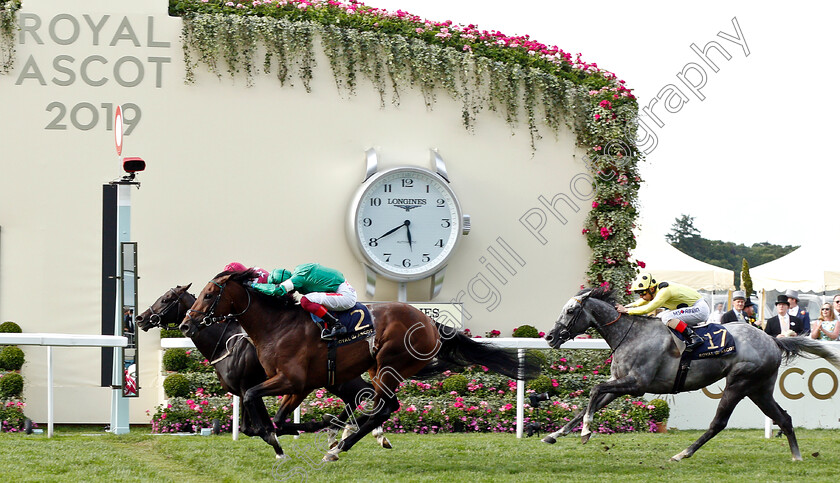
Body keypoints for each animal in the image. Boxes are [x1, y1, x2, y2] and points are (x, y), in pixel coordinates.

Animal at [136, 284, 392, 454]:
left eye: (166, 299)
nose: (140, 318)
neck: (224, 341)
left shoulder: (251, 387)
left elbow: (261, 426)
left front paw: (286, 437)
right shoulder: (244, 390)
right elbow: (251, 427)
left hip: (337, 379)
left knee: (366, 394)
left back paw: (357, 432)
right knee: (363, 396)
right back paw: (354, 433)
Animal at [180, 270, 540, 464]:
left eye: (209, 294)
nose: (185, 324)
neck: (276, 325)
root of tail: (430, 322)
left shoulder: (290, 379)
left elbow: (256, 401)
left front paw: (306, 434)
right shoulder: (299, 385)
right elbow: (276, 418)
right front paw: (299, 433)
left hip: (388, 365)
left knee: (384, 407)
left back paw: (339, 447)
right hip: (376, 370)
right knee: (379, 407)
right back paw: (342, 441)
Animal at [540, 288, 840, 462]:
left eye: (570, 310)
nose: (551, 337)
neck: (631, 334)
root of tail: (773, 340)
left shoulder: (636, 384)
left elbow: (593, 390)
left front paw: (586, 432)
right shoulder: (619, 383)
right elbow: (589, 402)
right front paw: (554, 434)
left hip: (739, 383)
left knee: (718, 423)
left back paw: (683, 453)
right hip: (759, 388)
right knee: (783, 418)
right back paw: (797, 457)